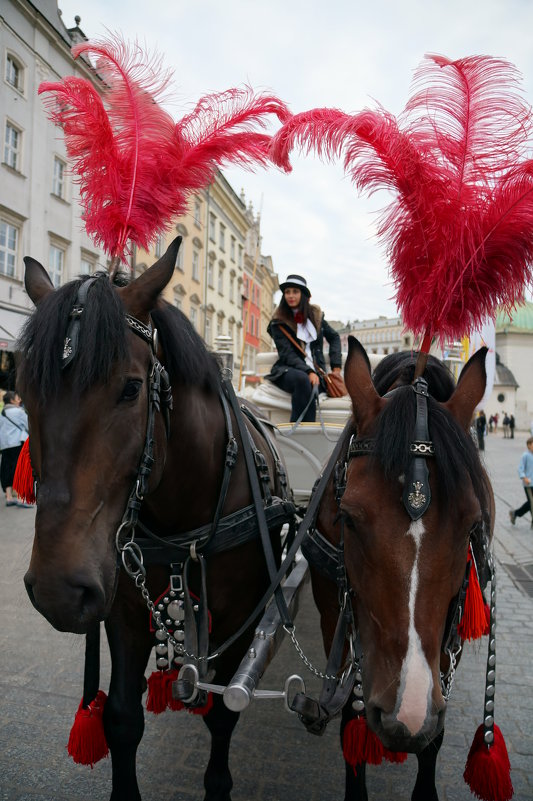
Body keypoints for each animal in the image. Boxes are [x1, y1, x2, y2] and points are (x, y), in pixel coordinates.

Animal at [18, 236, 294, 800]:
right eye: (25, 389)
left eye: (130, 389)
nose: (58, 590)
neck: (179, 519)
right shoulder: (124, 614)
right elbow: (122, 720)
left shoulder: (242, 619)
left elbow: (222, 715)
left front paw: (217, 783)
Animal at [306, 338, 492, 800]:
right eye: (349, 518)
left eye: (471, 525)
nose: (404, 714)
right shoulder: (338, 617)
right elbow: (352, 714)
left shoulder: (445, 634)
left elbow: (433, 735)